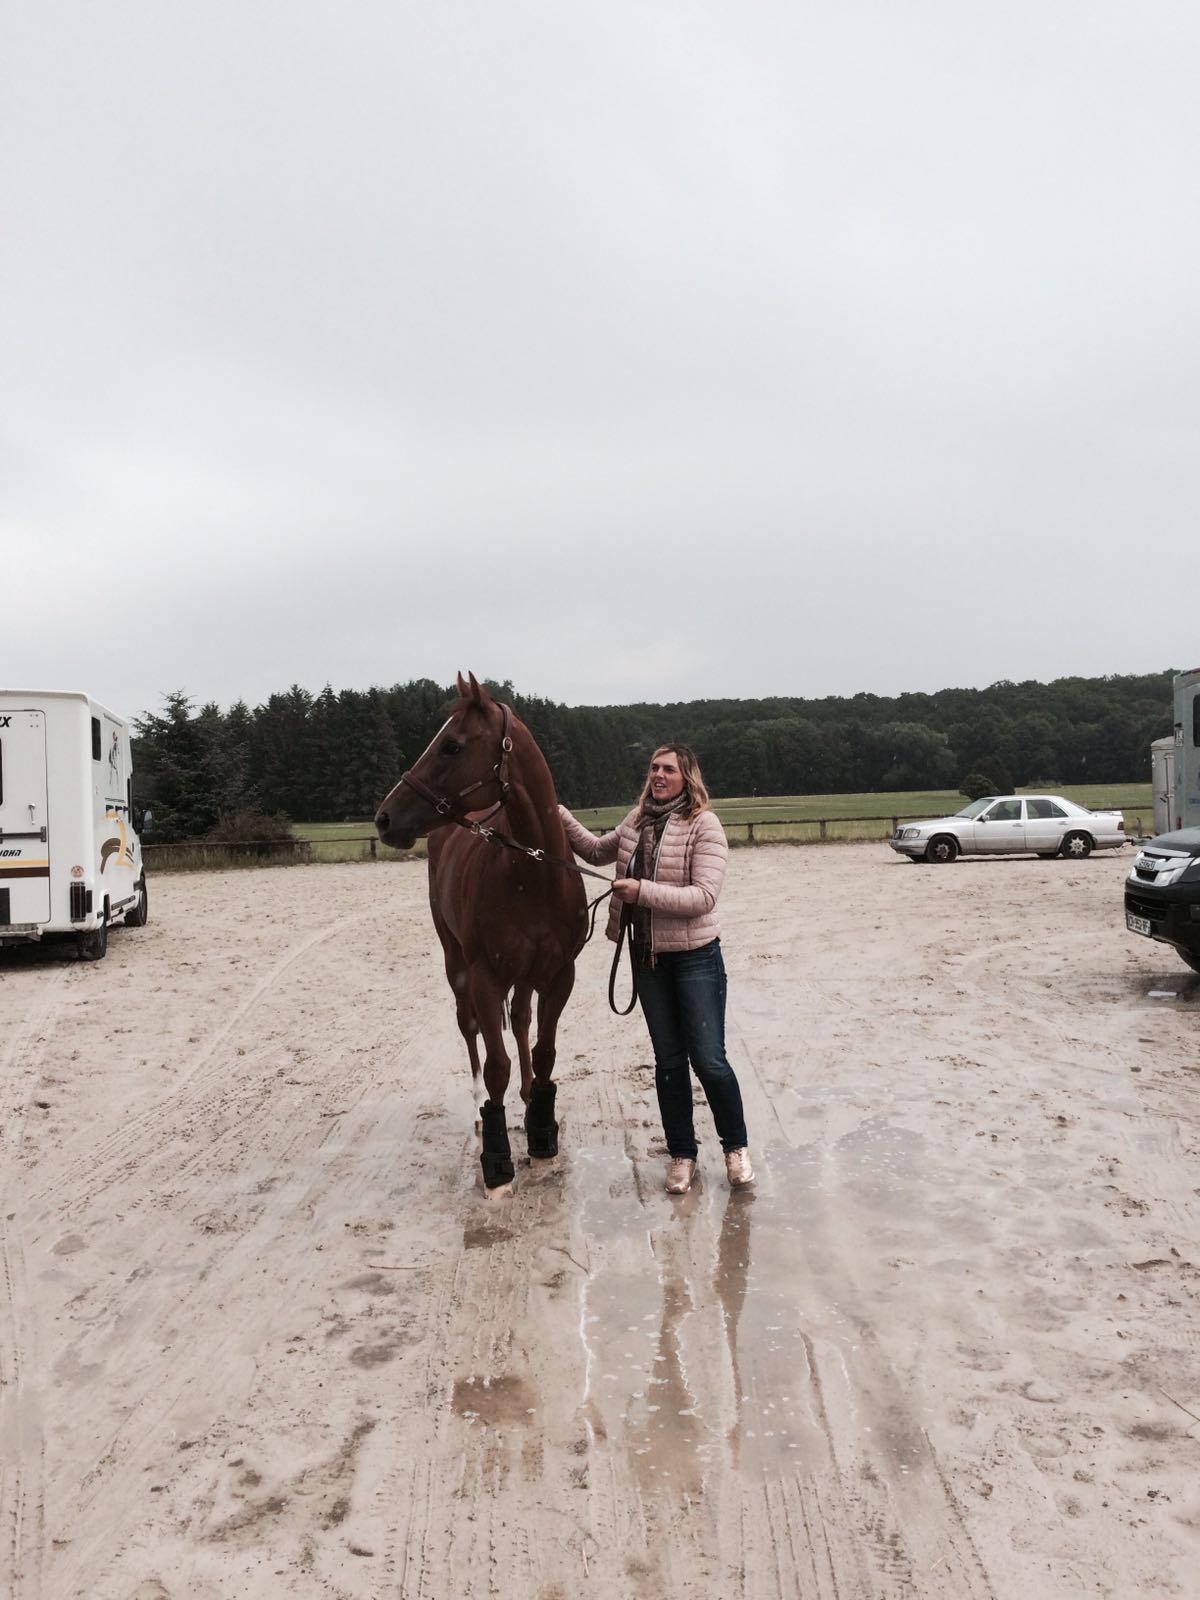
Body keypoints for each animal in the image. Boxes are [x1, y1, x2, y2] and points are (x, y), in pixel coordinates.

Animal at [374, 673, 588, 1194]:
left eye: (451, 745)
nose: (385, 818)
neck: (534, 874)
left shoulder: (559, 976)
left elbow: (543, 1051)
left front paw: (541, 1131)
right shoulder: (486, 978)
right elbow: (496, 1066)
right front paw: (497, 1160)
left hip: (526, 977)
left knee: (523, 1020)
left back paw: (529, 1100)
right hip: (457, 966)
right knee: (468, 1027)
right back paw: (477, 1109)